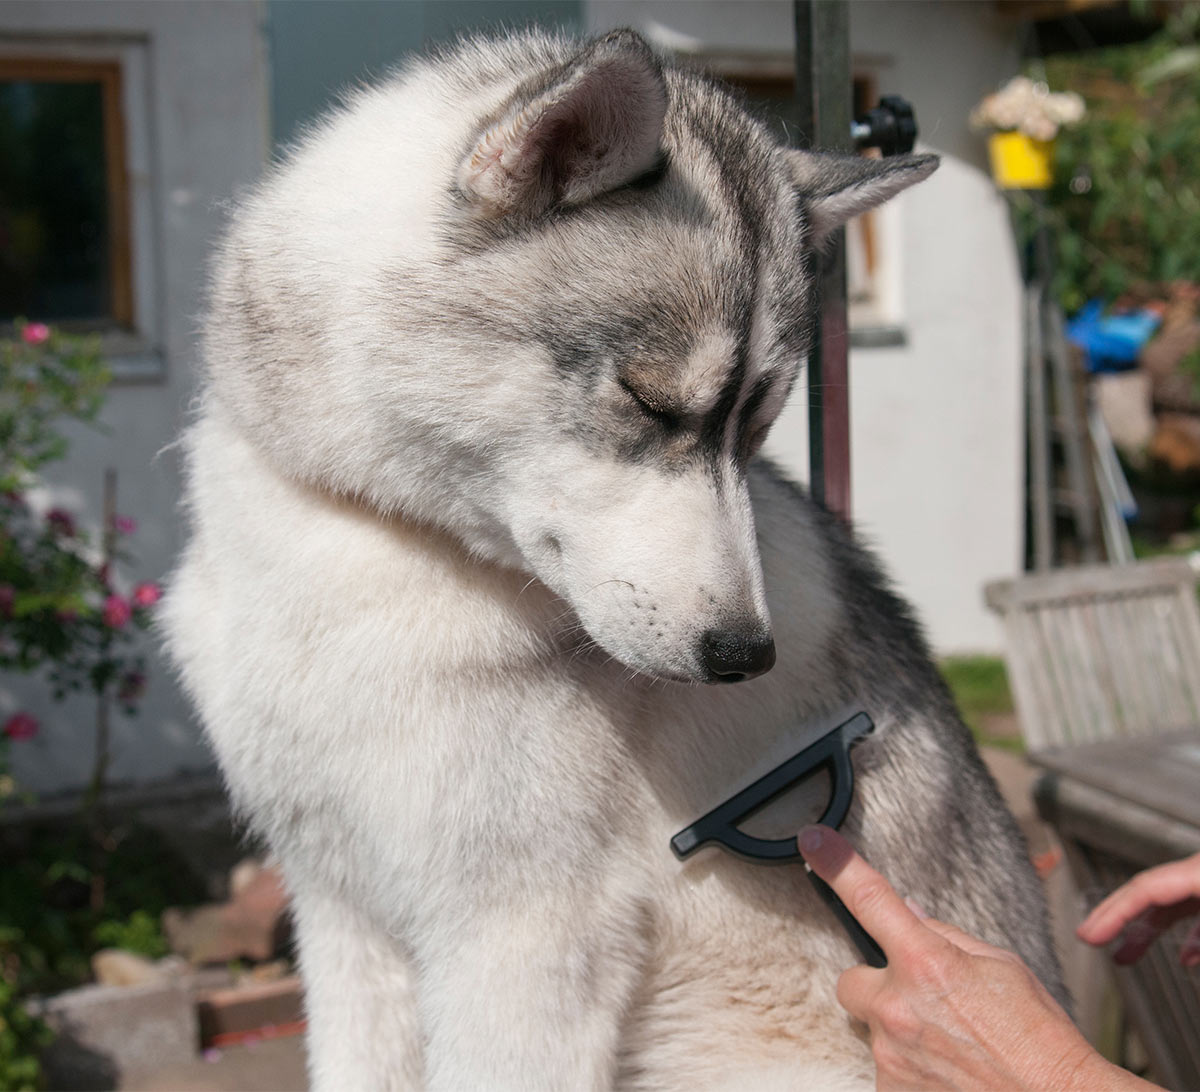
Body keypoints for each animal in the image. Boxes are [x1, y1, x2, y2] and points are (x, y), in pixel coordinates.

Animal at [164, 27, 1065, 1092]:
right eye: (650, 402)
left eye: (757, 424)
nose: (744, 656)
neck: (375, 530)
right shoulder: (345, 920)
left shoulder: (521, 945)